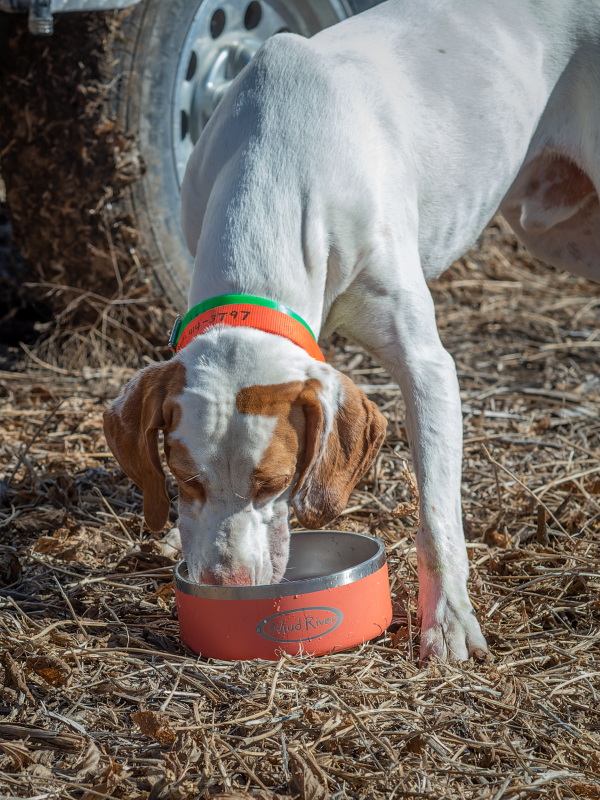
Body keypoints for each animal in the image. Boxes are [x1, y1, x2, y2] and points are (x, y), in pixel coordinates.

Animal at [103, 0, 600, 664]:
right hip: (561, 232)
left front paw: (447, 623)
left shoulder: (427, 366)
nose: (224, 585)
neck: (274, 167)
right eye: (185, 479)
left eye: (273, 484)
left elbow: (437, 513)